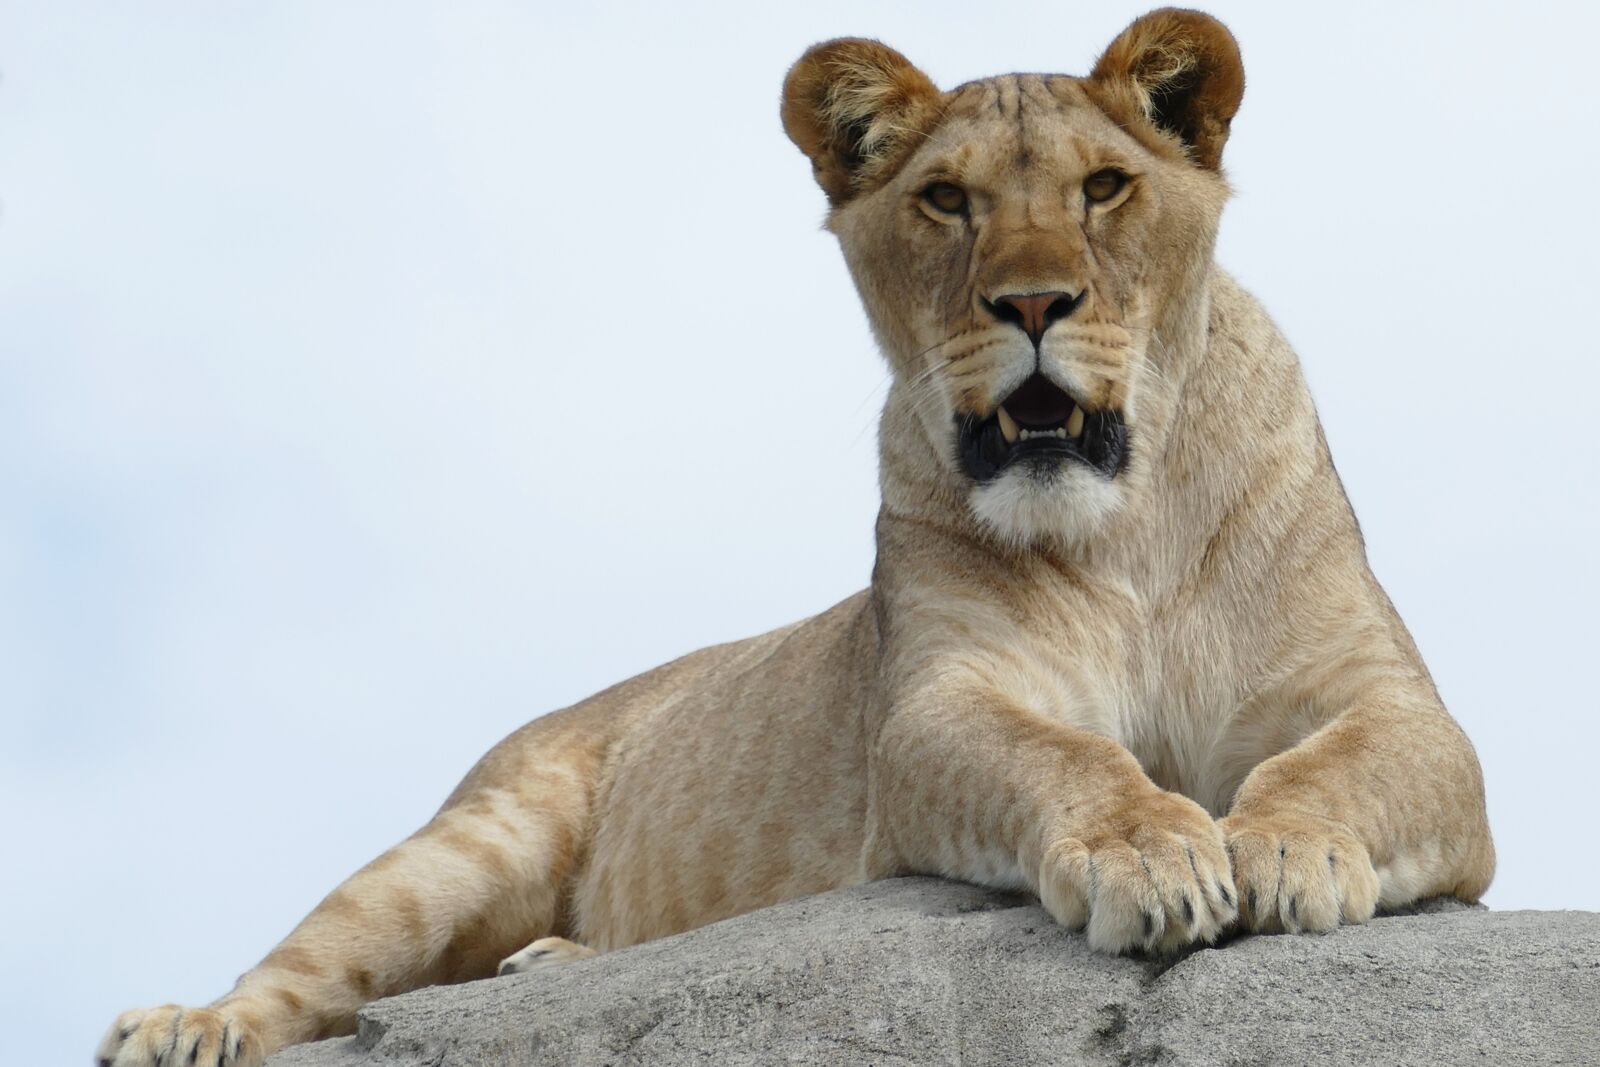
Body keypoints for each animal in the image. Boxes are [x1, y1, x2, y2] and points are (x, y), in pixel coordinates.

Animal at [96, 9, 1494, 1065]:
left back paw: (547, 960)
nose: (1032, 302)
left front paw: (1285, 848)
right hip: (468, 841)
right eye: (945, 200)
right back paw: (185, 1025)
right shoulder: (933, 707)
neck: (1125, 528)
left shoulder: (1398, 704)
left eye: (1104, 188)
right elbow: (1068, 759)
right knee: (311, 968)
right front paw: (1151, 852)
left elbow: (1344, 761)